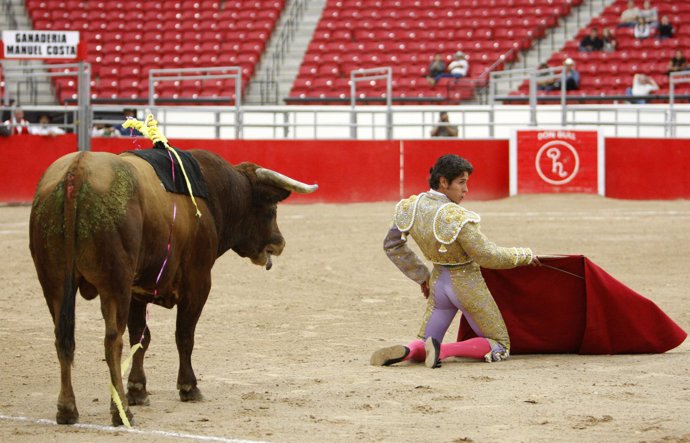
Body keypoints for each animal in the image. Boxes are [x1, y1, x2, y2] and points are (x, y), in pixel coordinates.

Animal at [28, 147, 316, 426]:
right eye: (271, 208)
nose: (279, 243)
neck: (213, 192)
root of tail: (76, 171)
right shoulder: (198, 283)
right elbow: (184, 336)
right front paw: (188, 386)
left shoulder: (137, 291)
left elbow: (140, 338)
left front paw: (138, 389)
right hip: (114, 284)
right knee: (112, 341)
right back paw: (119, 412)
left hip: (53, 283)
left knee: (63, 339)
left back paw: (67, 409)